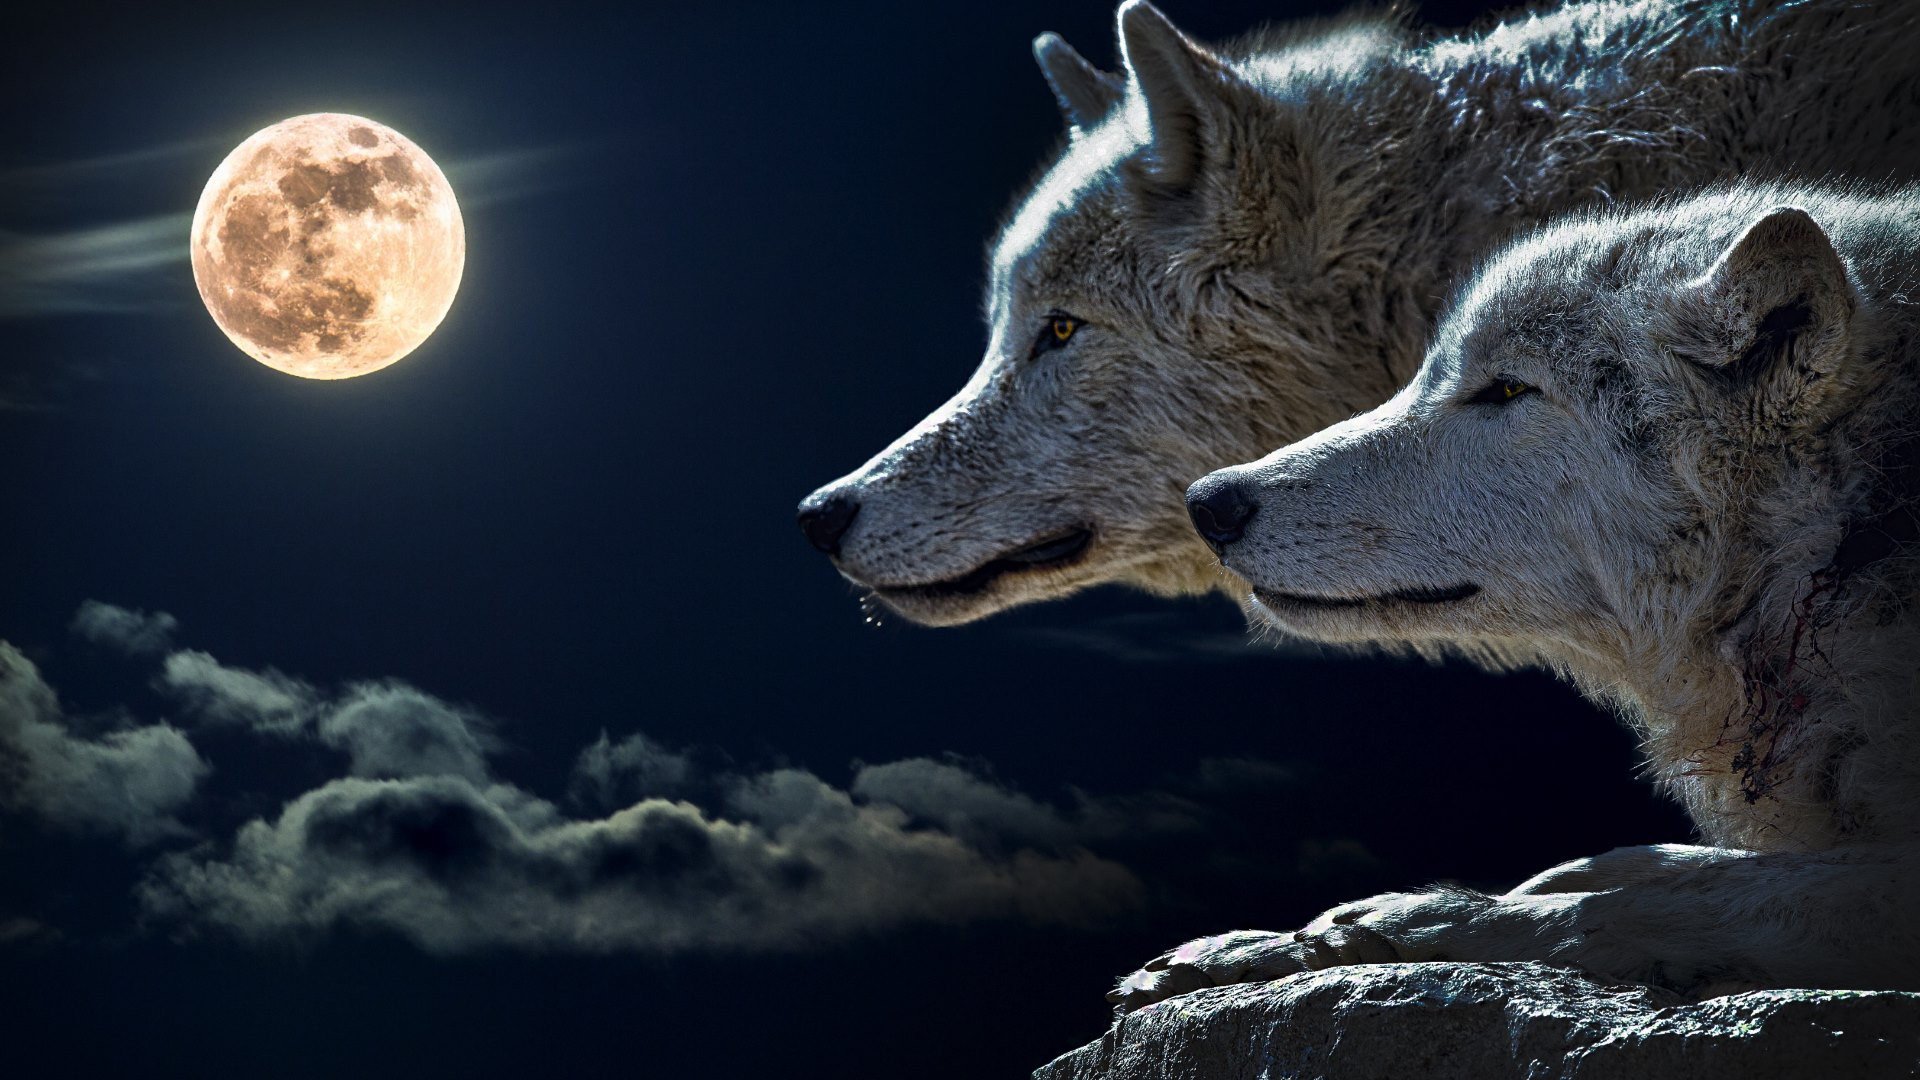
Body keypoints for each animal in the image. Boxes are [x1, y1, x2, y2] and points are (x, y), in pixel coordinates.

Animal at [1113, 184, 1920, 1008]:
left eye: (1505, 389)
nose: (1209, 502)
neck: (1840, 548)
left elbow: (1636, 904)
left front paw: (1404, 922)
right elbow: (1646, 864)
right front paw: (1253, 946)